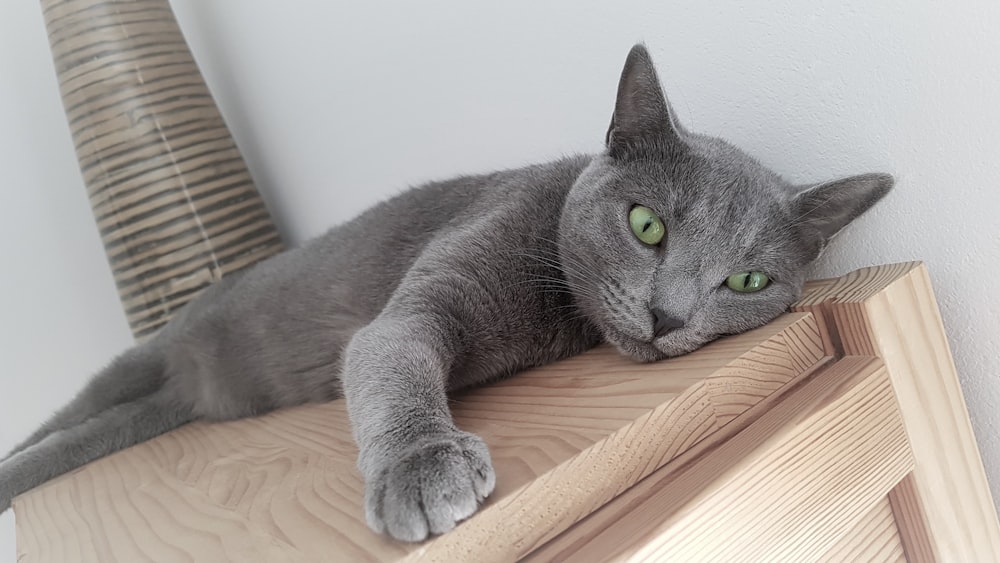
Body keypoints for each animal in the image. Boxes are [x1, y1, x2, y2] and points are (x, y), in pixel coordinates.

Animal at [0, 45, 892, 540]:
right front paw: (421, 468)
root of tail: (189, 391)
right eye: (646, 225)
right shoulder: (424, 298)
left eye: (747, 280)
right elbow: (394, 362)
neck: (553, 308)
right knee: (59, 419)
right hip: (132, 361)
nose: (668, 314)